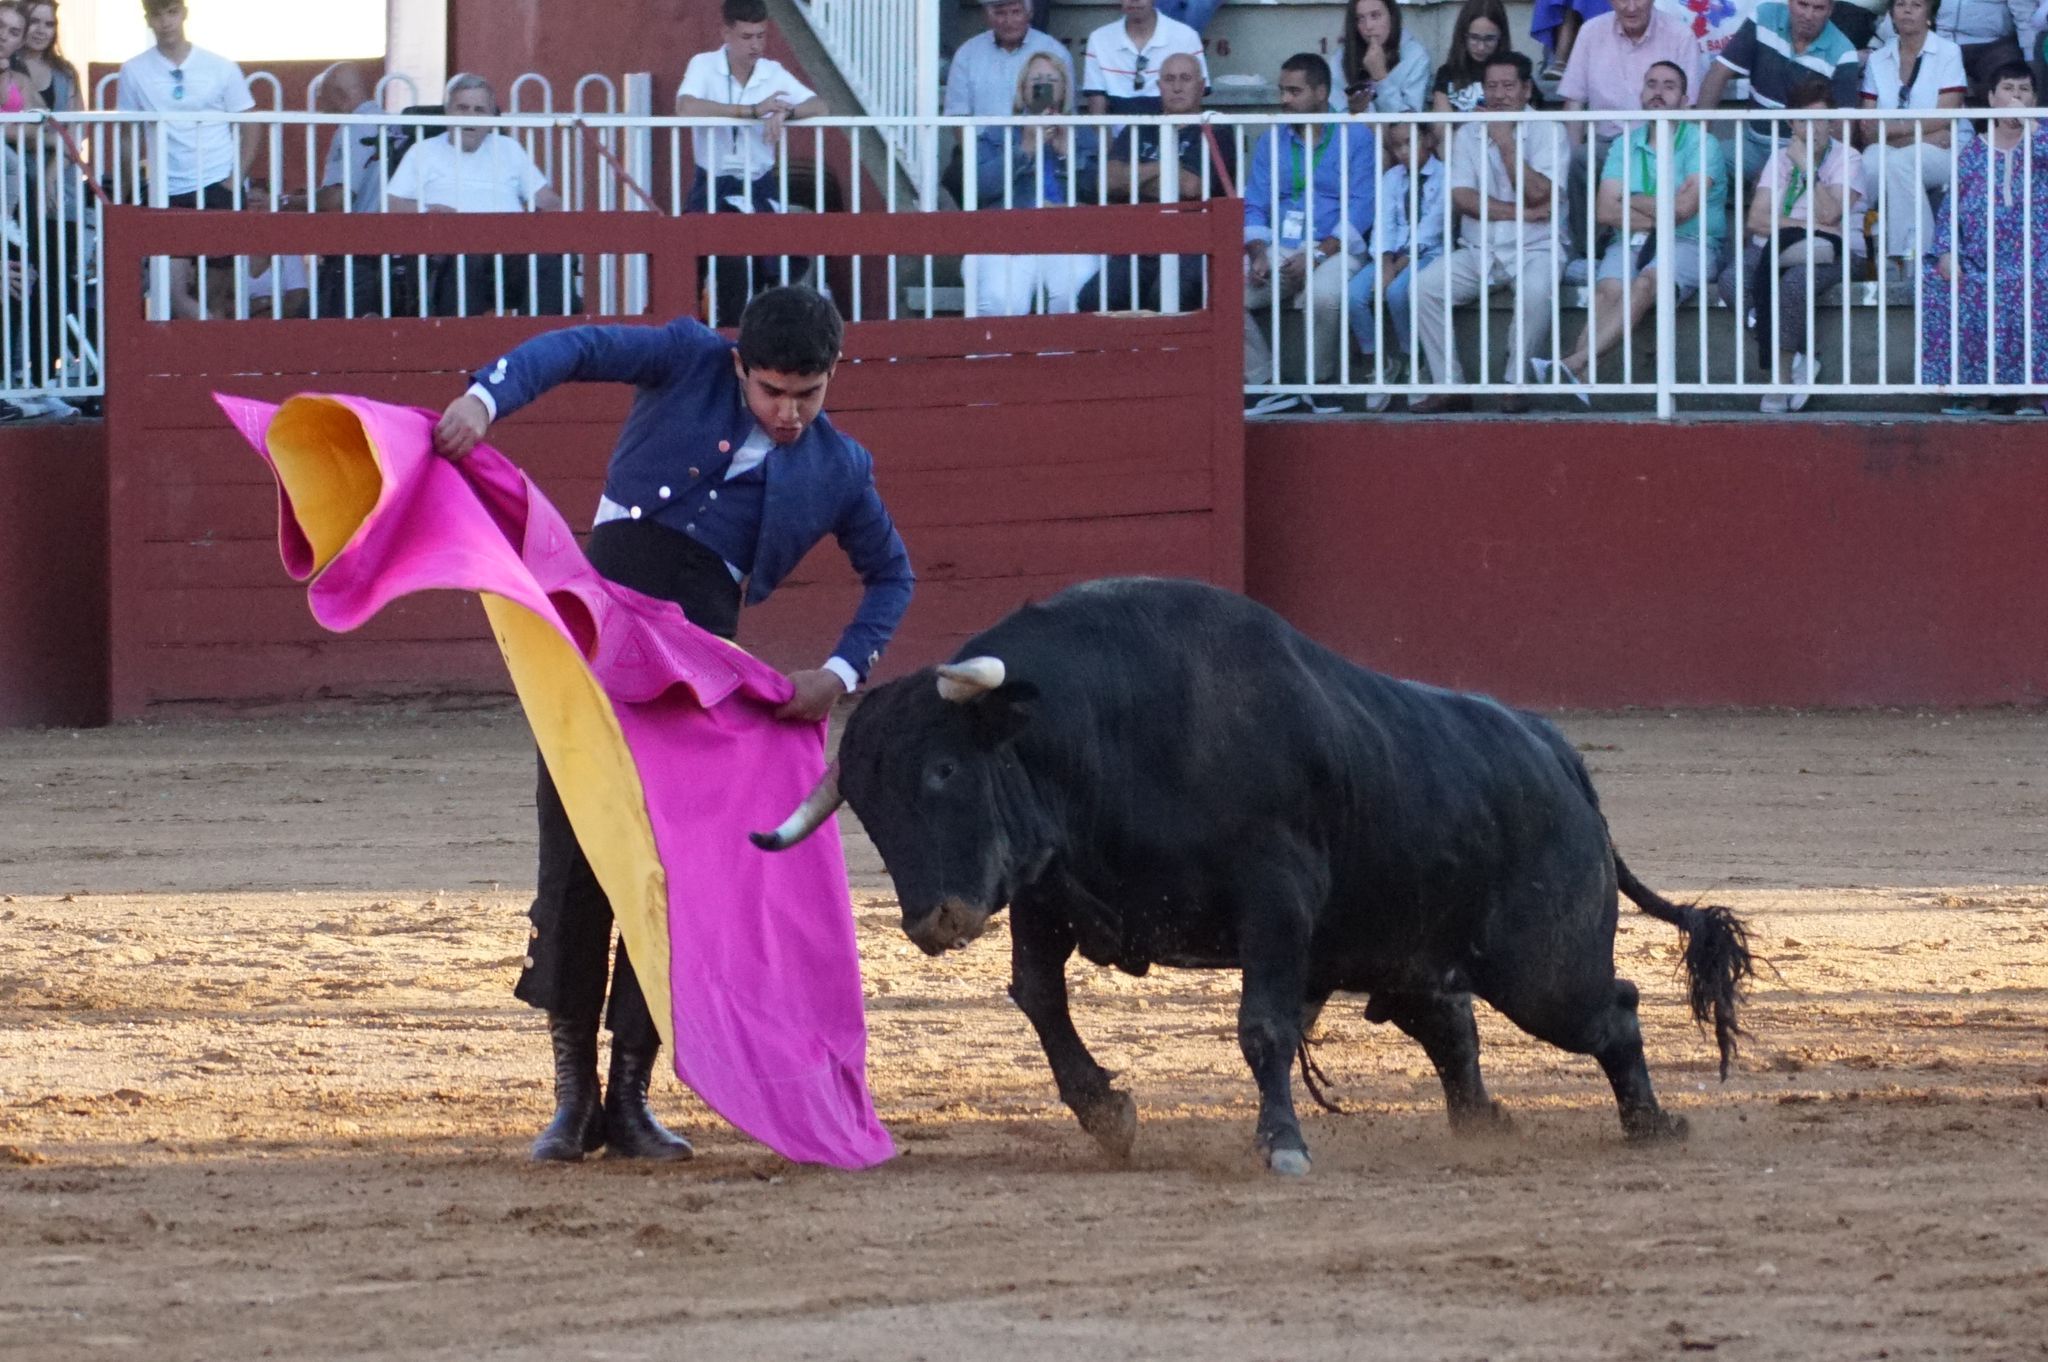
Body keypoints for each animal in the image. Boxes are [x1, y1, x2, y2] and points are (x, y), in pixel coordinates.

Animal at [761, 577, 1753, 1171]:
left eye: (943, 770)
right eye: (867, 809)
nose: (935, 920)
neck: (1107, 730)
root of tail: (1559, 758)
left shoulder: (1275, 903)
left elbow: (1264, 1026)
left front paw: (1281, 1144)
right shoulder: (1047, 891)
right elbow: (1040, 999)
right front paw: (1106, 1114)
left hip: (1540, 966)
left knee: (1609, 1011)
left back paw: (1651, 1124)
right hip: (1409, 955)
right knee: (1452, 1024)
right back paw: (1484, 1123)